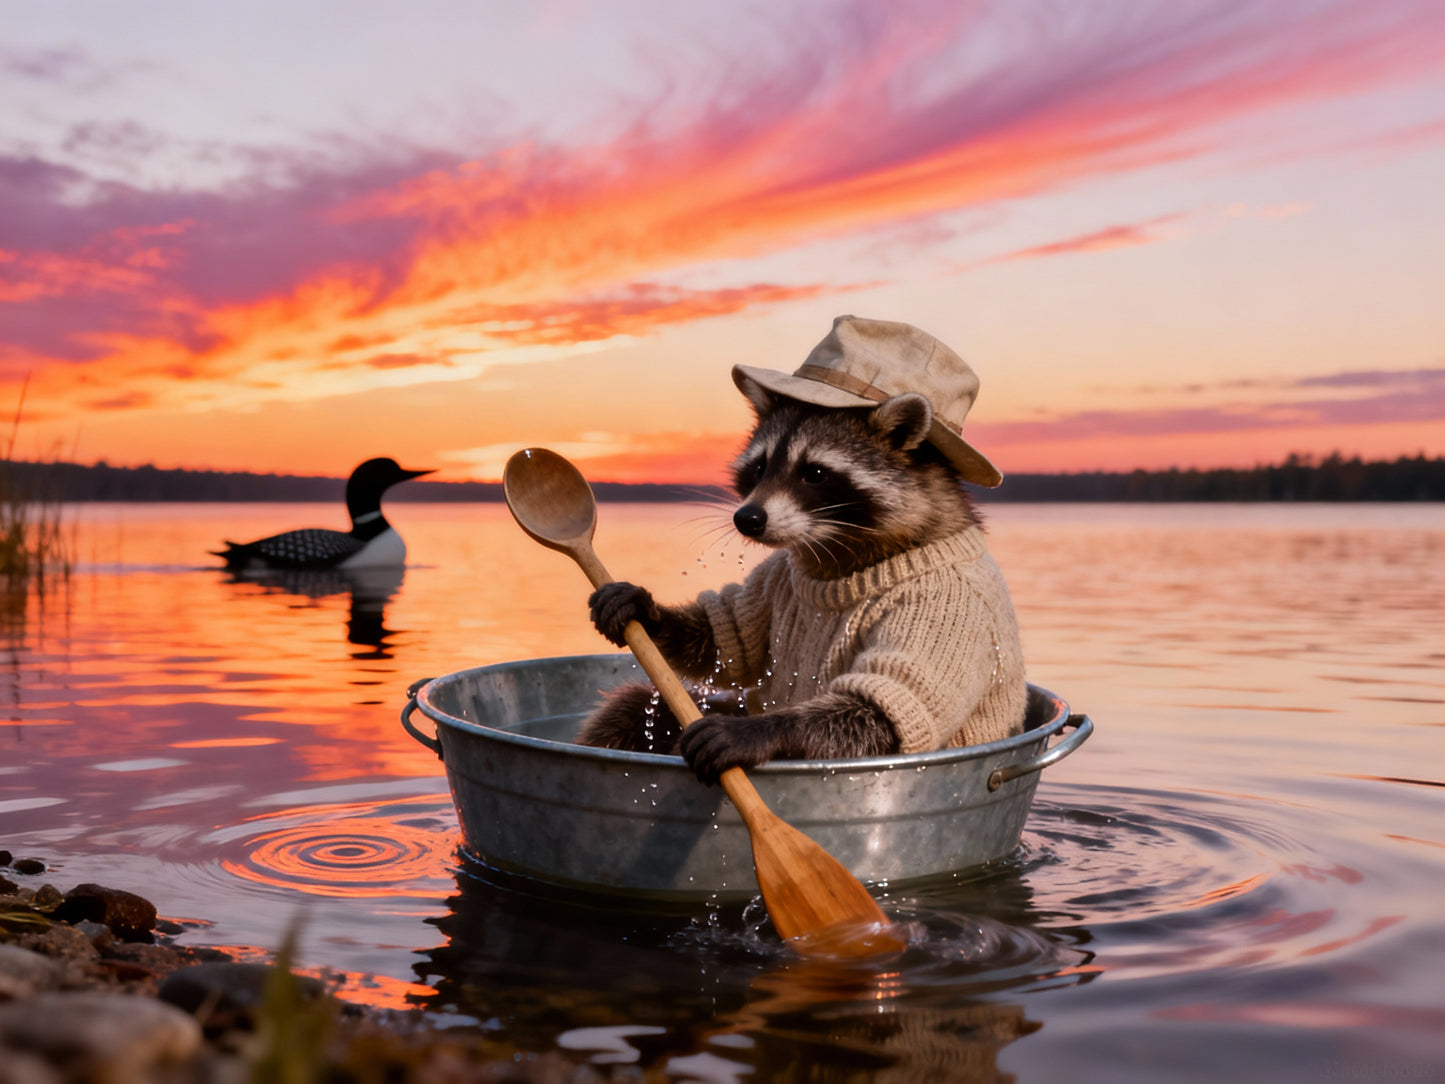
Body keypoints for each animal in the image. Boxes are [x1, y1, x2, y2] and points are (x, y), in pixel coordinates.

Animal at [577, 369, 1028, 784]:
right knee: (633, 708)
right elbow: (726, 642)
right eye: (760, 466)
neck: (837, 552)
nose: (747, 518)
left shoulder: (946, 607)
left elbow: (875, 712)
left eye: (814, 473)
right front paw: (649, 612)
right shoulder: (780, 573)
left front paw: (761, 730)